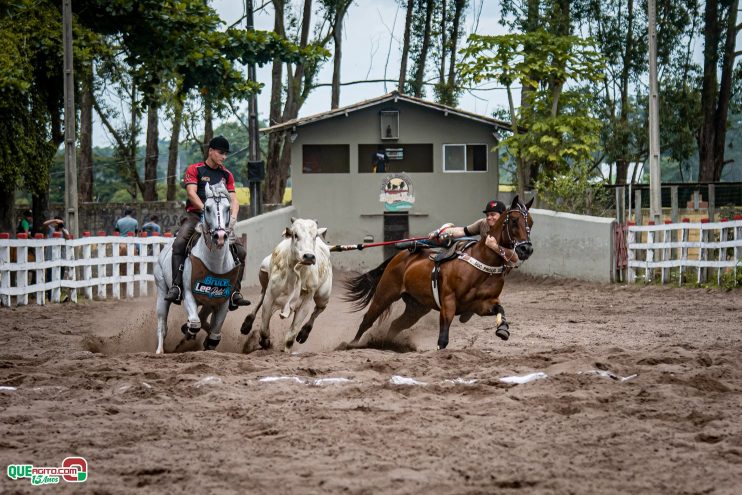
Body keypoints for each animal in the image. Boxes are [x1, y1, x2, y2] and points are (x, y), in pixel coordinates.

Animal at [154, 182, 238, 352]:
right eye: (207, 208)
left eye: (228, 208)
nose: (220, 237)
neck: (214, 264)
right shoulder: (188, 294)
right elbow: (194, 323)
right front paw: (186, 335)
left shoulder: (222, 301)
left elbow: (214, 333)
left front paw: (207, 342)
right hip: (162, 290)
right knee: (162, 324)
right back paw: (160, 350)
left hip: (208, 303)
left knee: (204, 320)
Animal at [240, 218, 332, 352]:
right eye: (295, 235)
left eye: (315, 236)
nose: (309, 256)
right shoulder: (270, 296)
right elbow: (263, 328)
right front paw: (265, 342)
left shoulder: (306, 302)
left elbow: (290, 337)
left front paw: (286, 350)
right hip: (263, 274)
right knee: (261, 295)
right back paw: (247, 324)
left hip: (323, 295)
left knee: (319, 309)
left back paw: (304, 333)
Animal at [342, 196, 536, 350]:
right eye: (514, 220)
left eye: (531, 223)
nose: (526, 249)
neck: (481, 266)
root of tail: (398, 256)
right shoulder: (448, 302)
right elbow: (443, 339)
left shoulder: (482, 305)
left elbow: (500, 309)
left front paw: (503, 329)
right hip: (385, 294)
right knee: (367, 319)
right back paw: (350, 344)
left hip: (417, 307)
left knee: (396, 324)